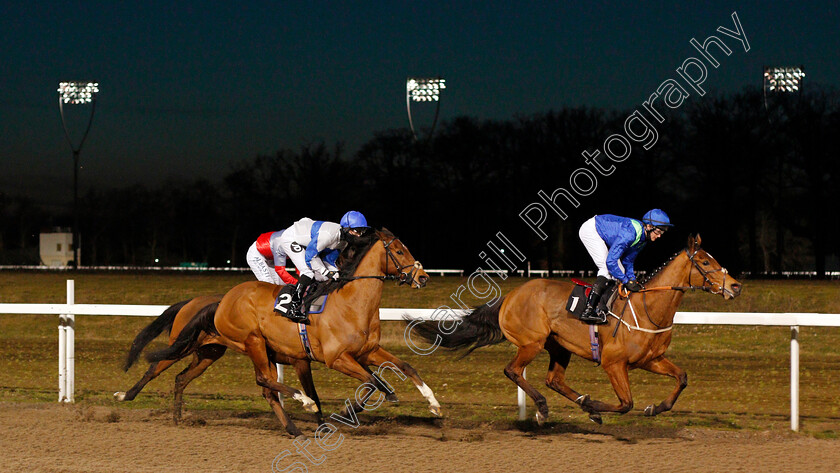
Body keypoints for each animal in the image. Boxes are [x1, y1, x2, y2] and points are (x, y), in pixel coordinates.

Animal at [147, 229, 442, 436]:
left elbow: (404, 367)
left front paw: (433, 404)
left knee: (265, 387)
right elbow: (373, 382)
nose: (423, 277)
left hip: (247, 351)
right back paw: (303, 402)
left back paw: (294, 427)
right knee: (264, 381)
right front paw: (350, 408)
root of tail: (222, 300)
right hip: (253, 341)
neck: (352, 302)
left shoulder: (366, 351)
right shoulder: (337, 358)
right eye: (399, 251)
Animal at [406, 234, 740, 422]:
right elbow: (625, 404)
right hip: (531, 343)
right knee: (513, 371)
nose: (735, 286)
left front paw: (655, 408)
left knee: (553, 380)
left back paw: (574, 402)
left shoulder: (650, 360)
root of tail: (510, 296)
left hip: (559, 346)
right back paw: (543, 408)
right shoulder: (613, 363)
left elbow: (681, 378)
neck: (648, 309)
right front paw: (594, 406)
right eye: (706, 263)